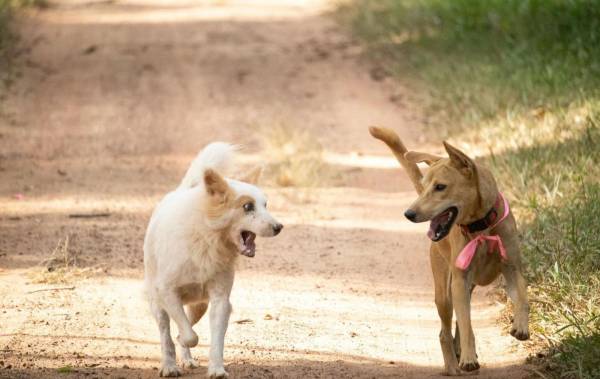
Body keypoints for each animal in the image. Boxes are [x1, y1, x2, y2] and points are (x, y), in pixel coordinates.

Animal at [144, 142, 282, 378]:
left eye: (266, 205)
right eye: (248, 206)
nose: (279, 227)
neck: (207, 238)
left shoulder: (220, 300)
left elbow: (213, 340)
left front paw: (217, 369)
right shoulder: (167, 292)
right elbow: (189, 336)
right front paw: (179, 349)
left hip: (200, 305)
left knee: (184, 326)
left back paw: (187, 360)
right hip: (157, 302)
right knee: (166, 333)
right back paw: (169, 365)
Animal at [370, 127, 528, 374]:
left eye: (440, 187)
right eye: (425, 186)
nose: (409, 214)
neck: (481, 227)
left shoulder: (511, 267)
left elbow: (522, 297)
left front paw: (521, 325)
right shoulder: (460, 281)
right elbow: (466, 324)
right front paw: (468, 357)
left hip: (465, 288)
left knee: (455, 327)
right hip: (445, 293)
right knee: (444, 332)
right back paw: (454, 364)